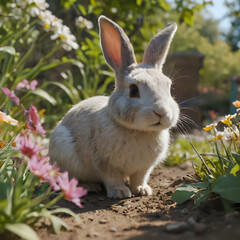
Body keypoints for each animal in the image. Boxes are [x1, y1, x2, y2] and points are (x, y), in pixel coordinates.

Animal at [48, 15, 179, 199]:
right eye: (133, 90)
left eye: (169, 88)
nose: (161, 112)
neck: (140, 131)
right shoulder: (105, 163)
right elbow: (111, 178)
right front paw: (120, 193)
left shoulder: (144, 168)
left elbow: (140, 177)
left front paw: (142, 190)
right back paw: (88, 186)